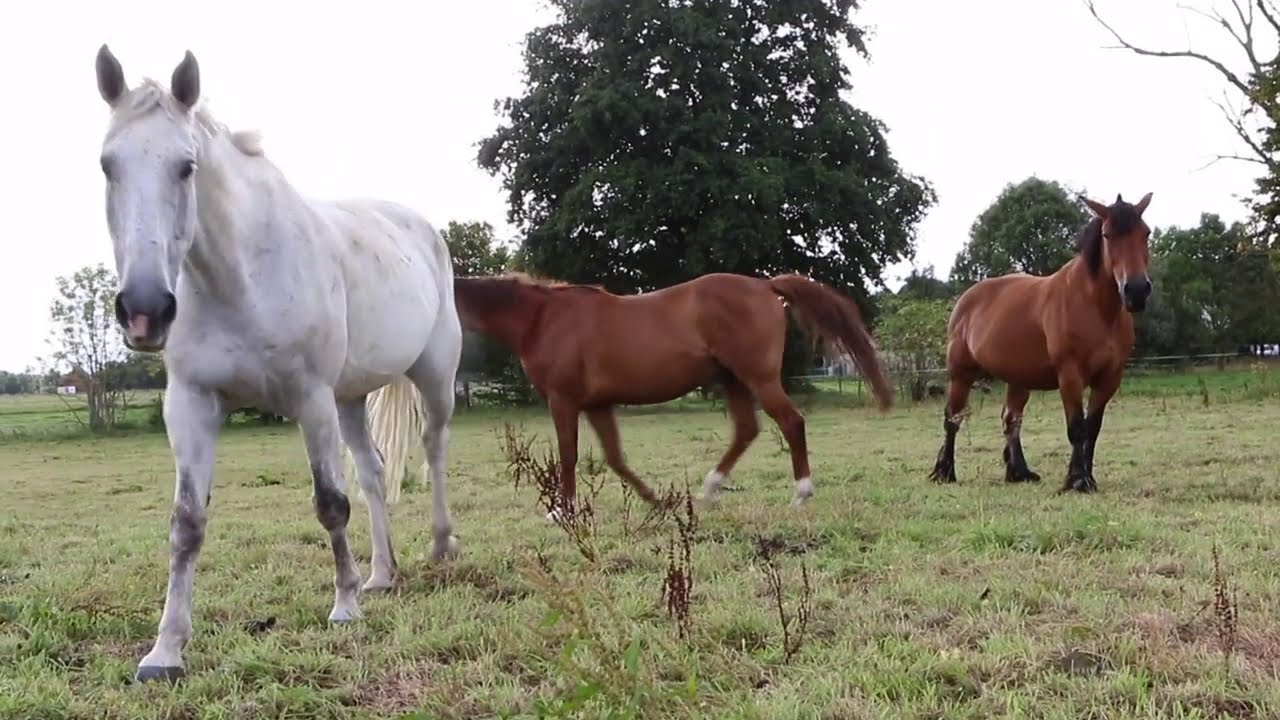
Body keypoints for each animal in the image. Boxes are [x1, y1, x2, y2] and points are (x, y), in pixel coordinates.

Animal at [93, 46, 464, 682]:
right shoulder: (191, 404)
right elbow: (186, 525)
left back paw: (439, 547)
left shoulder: (310, 398)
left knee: (433, 448)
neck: (238, 276)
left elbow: (330, 504)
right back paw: (382, 574)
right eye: (106, 165)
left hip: (433, 376)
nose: (144, 310)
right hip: (350, 398)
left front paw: (343, 607)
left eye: (186, 167)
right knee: (373, 472)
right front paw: (166, 650)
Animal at [453, 271, 894, 517]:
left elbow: (568, 458)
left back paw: (801, 494)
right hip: (733, 381)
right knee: (746, 431)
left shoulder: (564, 401)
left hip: (759, 378)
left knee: (790, 422)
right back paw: (710, 489)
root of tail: (765, 285)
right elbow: (616, 459)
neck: (543, 319)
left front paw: (562, 512)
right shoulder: (597, 405)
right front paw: (658, 502)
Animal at [927, 192, 1154, 494]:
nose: (1136, 290)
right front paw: (1077, 480)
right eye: (1108, 235)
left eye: (1146, 233)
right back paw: (945, 472)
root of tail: (965, 300)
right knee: (952, 419)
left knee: (1010, 420)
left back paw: (1019, 472)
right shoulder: (1069, 374)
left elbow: (1092, 428)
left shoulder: (1109, 377)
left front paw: (1087, 477)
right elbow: (1077, 428)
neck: (1094, 307)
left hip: (1018, 379)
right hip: (961, 375)